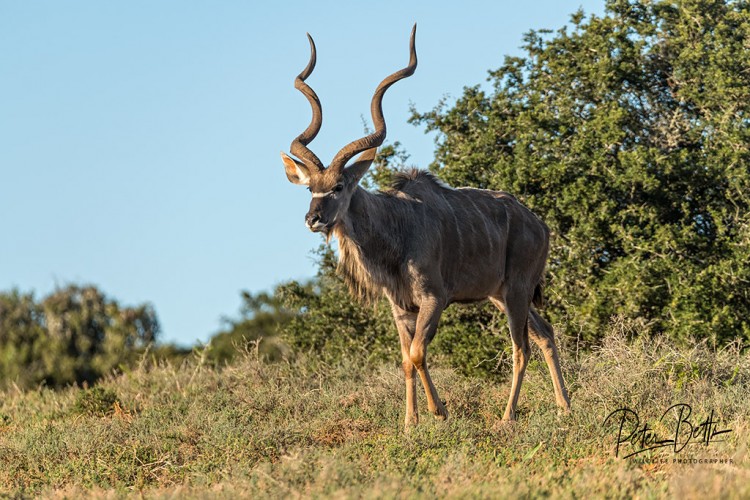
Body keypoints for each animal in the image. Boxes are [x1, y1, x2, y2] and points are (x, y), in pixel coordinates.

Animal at [280, 25, 568, 428]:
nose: (313, 219)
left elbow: (417, 353)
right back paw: (565, 407)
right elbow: (405, 359)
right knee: (544, 333)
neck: (396, 227)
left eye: (339, 187)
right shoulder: (400, 307)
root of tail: (540, 226)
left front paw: (438, 411)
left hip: (516, 291)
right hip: (501, 293)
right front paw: (409, 423)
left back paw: (507, 417)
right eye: (310, 188)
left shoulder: (434, 298)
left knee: (521, 347)